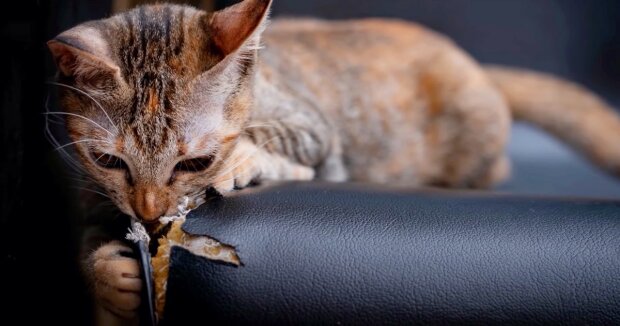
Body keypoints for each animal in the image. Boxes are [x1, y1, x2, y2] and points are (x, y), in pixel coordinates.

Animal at [47, 0, 620, 320]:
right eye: (109, 160)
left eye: (195, 163)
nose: (148, 211)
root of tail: (479, 70)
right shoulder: (96, 191)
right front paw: (112, 275)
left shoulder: (316, 135)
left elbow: (281, 141)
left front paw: (241, 158)